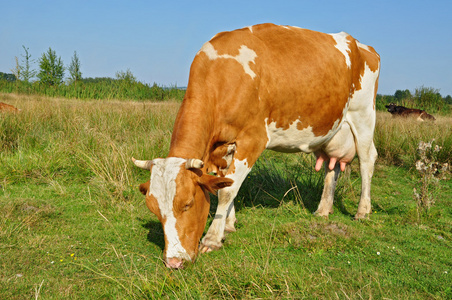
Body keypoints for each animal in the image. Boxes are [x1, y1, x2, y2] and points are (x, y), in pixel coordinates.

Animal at [132, 22, 380, 268]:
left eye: (188, 203)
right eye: (154, 209)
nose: (173, 261)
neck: (223, 76)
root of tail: (361, 45)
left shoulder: (253, 139)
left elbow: (227, 190)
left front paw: (212, 238)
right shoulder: (223, 147)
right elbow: (225, 183)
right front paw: (228, 224)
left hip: (363, 116)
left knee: (367, 160)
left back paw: (362, 211)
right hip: (331, 129)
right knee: (332, 166)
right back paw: (323, 210)